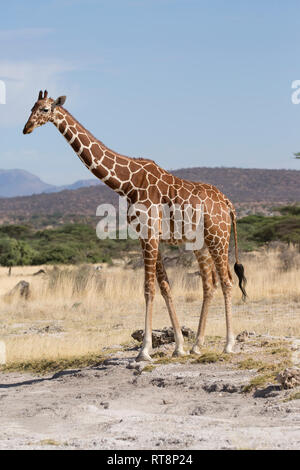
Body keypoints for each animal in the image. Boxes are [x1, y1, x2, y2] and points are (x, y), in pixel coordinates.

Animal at [23, 90, 247, 362]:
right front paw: (179, 346)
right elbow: (165, 287)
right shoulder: (146, 236)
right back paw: (197, 345)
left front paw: (144, 350)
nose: (26, 128)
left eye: (44, 109)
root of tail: (227, 203)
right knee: (209, 284)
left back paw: (228, 344)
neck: (127, 184)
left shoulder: (150, 234)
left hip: (219, 236)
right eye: (31, 108)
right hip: (200, 243)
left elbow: (148, 288)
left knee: (226, 281)